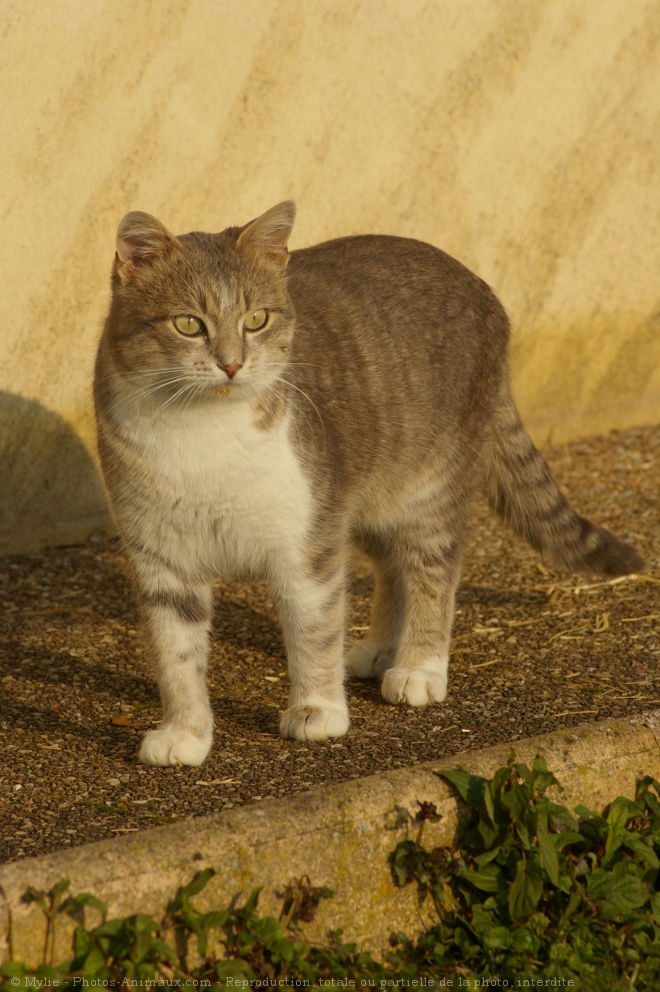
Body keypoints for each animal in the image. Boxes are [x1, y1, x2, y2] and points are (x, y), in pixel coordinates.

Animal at [93, 202, 644, 768]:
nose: (231, 363)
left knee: (431, 572)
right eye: (188, 324)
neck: (203, 434)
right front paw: (185, 732)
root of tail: (476, 282)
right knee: (392, 568)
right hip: (371, 500)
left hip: (427, 490)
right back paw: (381, 650)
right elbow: (177, 655)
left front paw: (317, 710)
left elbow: (314, 630)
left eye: (256, 320)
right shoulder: (163, 558)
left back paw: (418, 665)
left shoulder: (308, 545)